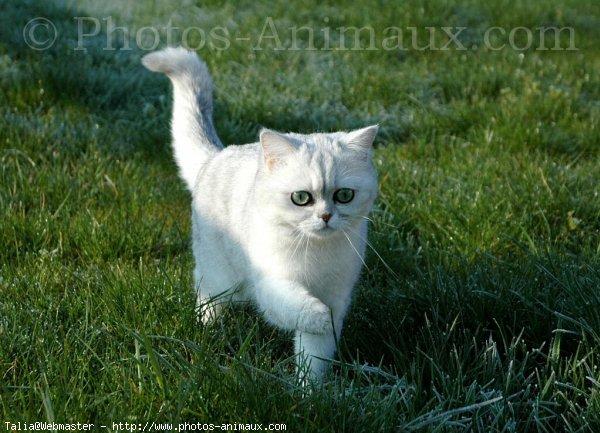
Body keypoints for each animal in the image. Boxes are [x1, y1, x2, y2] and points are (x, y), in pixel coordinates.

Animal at [142, 46, 378, 378]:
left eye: (344, 195)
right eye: (301, 198)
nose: (326, 216)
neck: (316, 253)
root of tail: (216, 156)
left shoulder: (337, 291)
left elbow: (315, 353)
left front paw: (310, 388)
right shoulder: (270, 285)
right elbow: (302, 308)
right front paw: (319, 316)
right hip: (223, 276)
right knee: (205, 289)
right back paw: (207, 327)